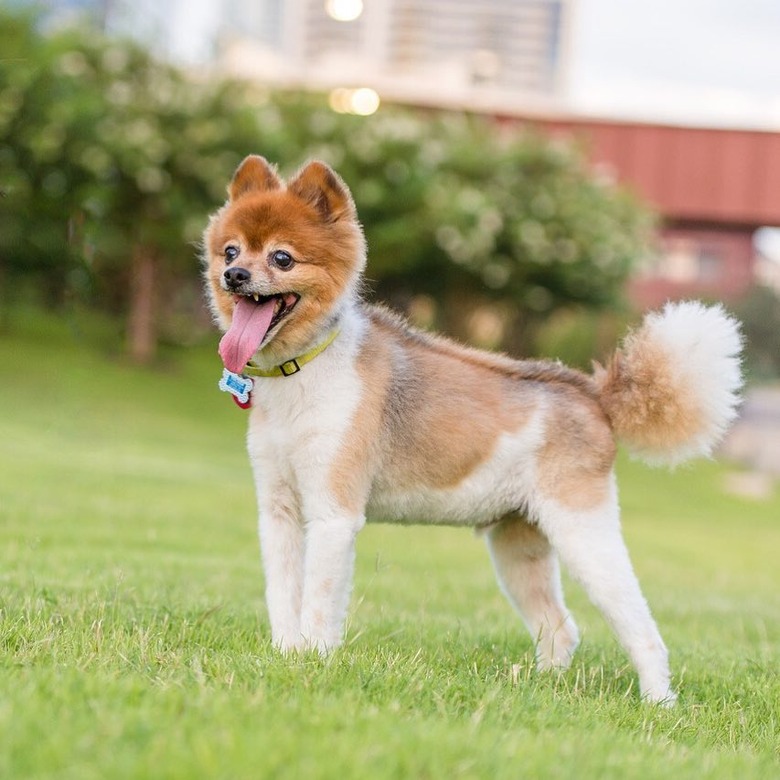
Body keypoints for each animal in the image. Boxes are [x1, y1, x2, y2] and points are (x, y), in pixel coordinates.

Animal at [201, 155, 744, 704]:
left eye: (283, 258)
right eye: (231, 250)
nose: (234, 275)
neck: (303, 370)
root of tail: (593, 394)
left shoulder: (333, 515)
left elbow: (317, 601)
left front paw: (311, 661)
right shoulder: (279, 512)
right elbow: (281, 595)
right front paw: (284, 656)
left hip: (584, 533)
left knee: (642, 630)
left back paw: (658, 702)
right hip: (518, 544)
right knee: (560, 626)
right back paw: (541, 688)